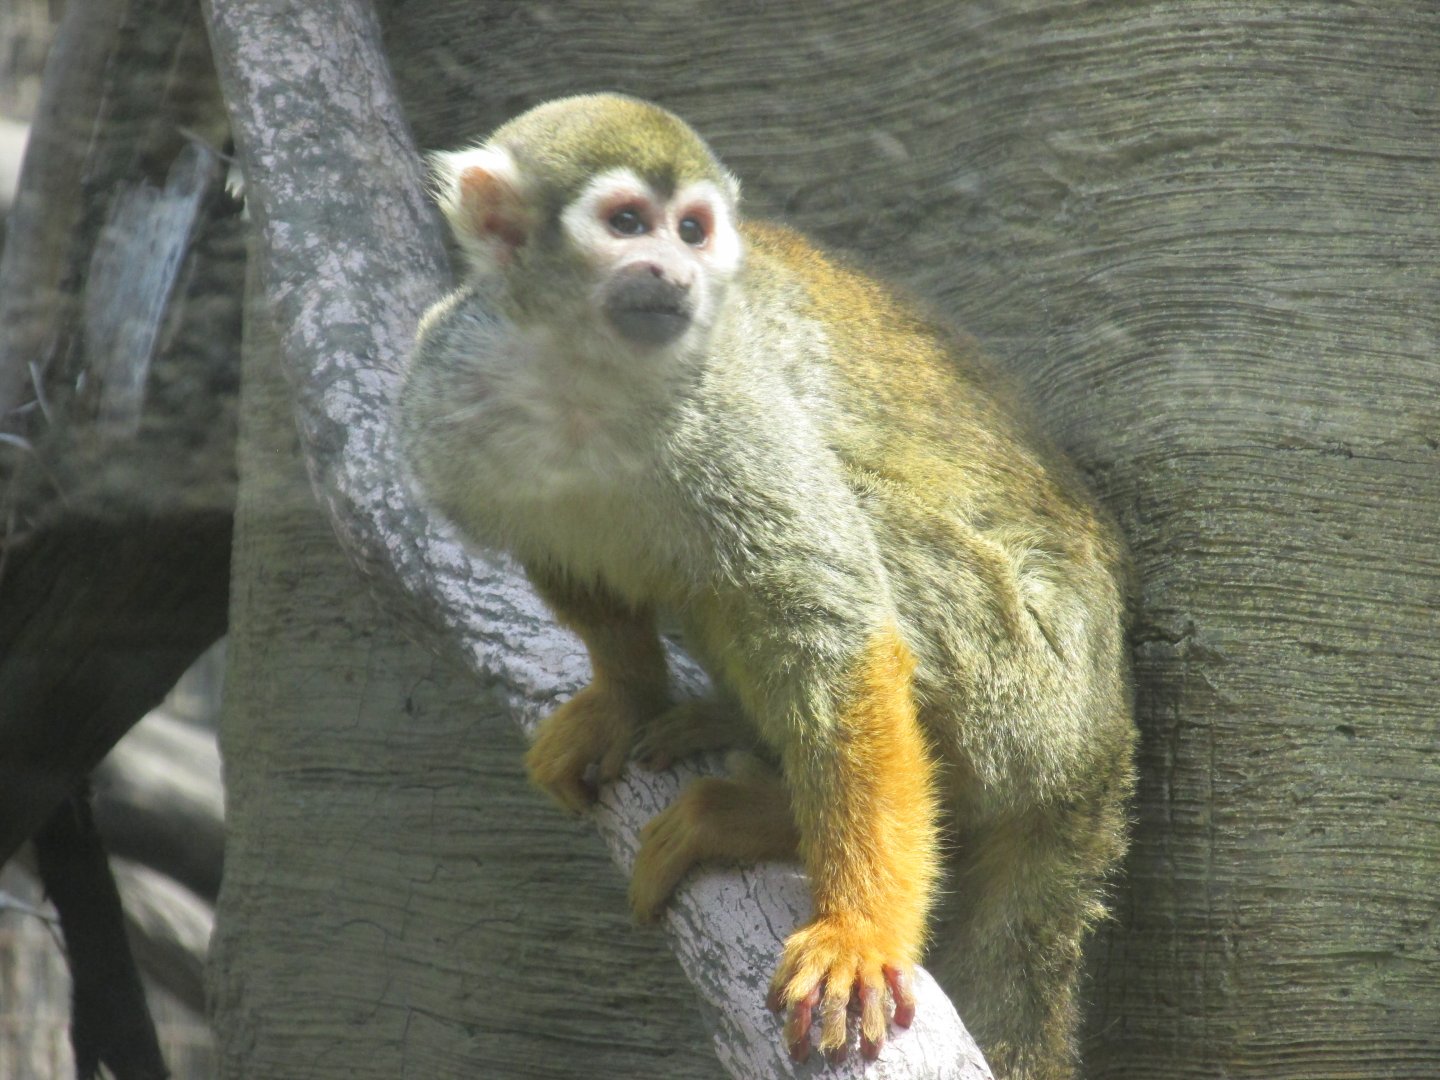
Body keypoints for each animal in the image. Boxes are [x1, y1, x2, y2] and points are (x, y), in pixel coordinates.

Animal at [398, 93, 1136, 1078]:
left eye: (693, 229)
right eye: (626, 222)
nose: (674, 271)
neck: (590, 381)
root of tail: (1105, 743)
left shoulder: (731, 404)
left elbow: (835, 633)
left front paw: (860, 932)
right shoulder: (450, 379)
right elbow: (566, 559)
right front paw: (624, 696)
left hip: (1032, 693)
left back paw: (774, 818)